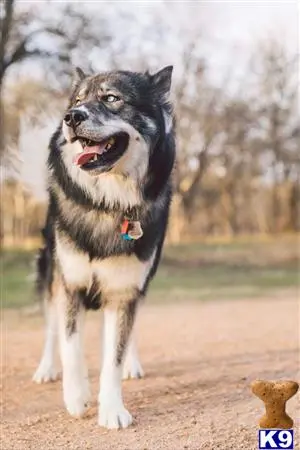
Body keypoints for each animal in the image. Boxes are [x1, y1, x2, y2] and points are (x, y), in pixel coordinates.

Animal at [32, 66, 176, 428]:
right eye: (77, 101)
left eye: (112, 98)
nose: (71, 117)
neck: (109, 204)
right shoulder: (70, 284)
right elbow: (70, 345)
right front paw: (76, 397)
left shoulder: (125, 289)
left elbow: (114, 354)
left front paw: (112, 409)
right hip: (50, 273)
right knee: (52, 329)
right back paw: (46, 369)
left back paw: (131, 365)